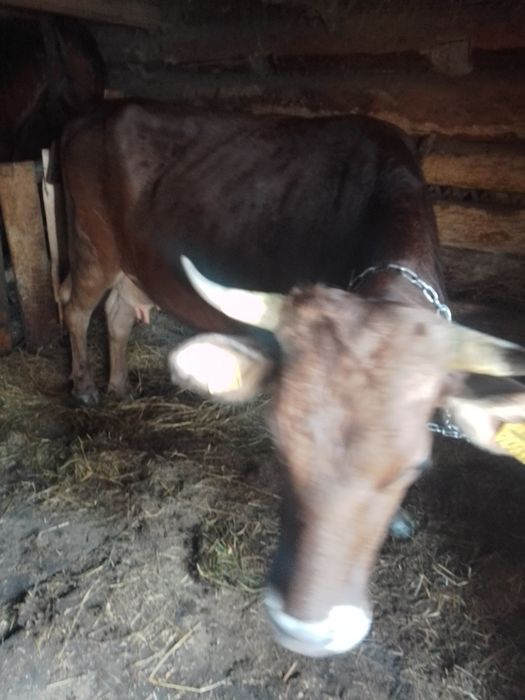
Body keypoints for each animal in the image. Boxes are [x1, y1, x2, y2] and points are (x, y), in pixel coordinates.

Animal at [58, 101, 525, 657]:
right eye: (279, 443)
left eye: (417, 465)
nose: (311, 632)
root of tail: (97, 114)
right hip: (93, 246)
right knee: (76, 307)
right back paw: (86, 387)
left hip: (132, 268)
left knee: (117, 315)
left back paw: (121, 385)